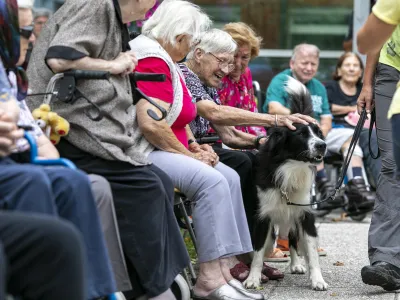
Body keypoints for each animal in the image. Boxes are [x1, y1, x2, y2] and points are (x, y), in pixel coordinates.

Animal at [244, 77, 328, 290]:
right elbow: (258, 252)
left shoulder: (305, 212)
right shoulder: (263, 215)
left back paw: (296, 264)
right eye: (301, 134)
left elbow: (311, 252)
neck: (291, 166)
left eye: (318, 133)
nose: (322, 145)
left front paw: (317, 279)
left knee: (292, 238)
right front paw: (253, 278)